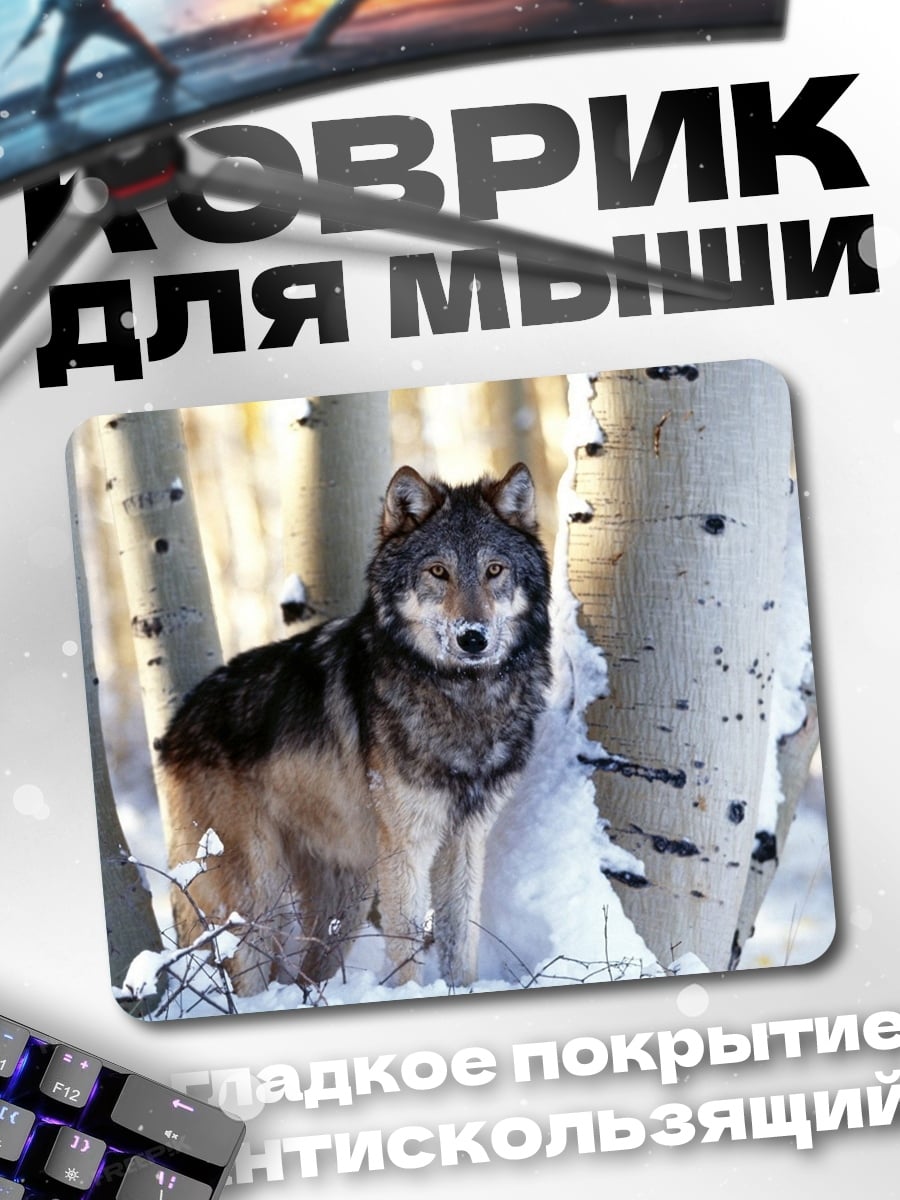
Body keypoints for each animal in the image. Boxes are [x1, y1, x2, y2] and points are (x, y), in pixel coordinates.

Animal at [158, 462, 552, 996]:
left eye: (494, 570)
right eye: (438, 571)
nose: (473, 637)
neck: (463, 697)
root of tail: (173, 729)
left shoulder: (466, 841)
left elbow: (460, 944)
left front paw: (461, 991)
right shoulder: (407, 847)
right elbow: (406, 949)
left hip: (345, 896)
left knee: (305, 974)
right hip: (260, 894)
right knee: (247, 973)